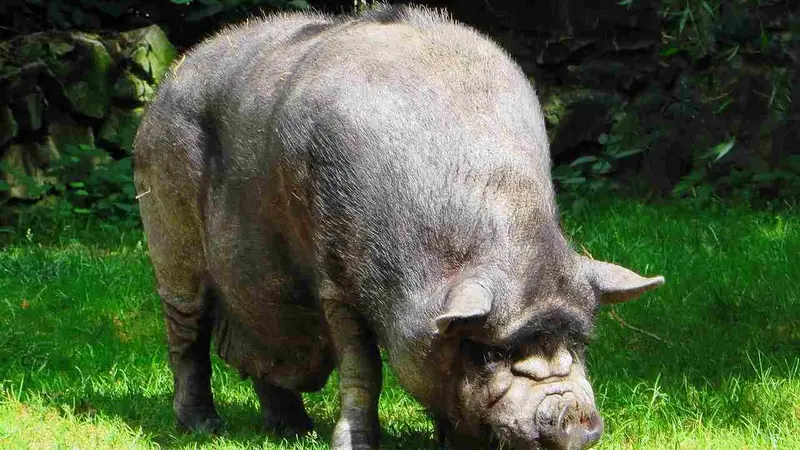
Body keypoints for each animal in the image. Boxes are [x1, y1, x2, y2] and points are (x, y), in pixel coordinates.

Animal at [133, 5, 664, 450]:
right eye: (488, 356)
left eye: (579, 344)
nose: (574, 418)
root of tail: (169, 80)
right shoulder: (337, 285)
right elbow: (363, 369)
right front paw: (355, 446)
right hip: (168, 232)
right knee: (187, 335)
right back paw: (203, 427)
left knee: (270, 345)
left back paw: (292, 431)